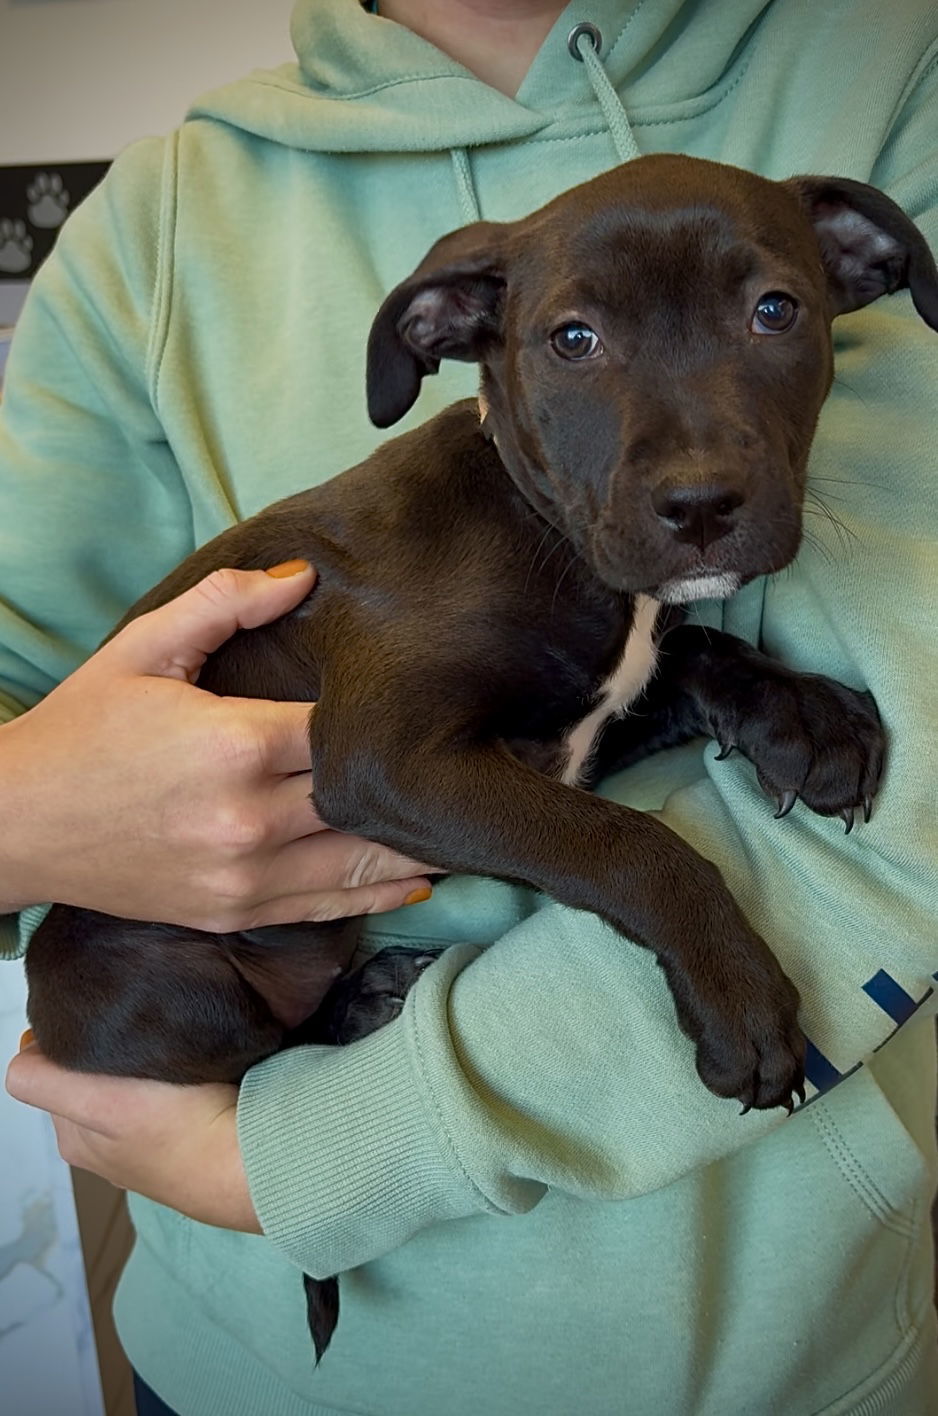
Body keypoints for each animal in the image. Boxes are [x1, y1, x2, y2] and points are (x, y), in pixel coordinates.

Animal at [25, 155, 935, 1359]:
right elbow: (632, 848)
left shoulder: (576, 729)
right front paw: (738, 992)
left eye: (776, 312)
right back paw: (363, 1005)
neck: (540, 526)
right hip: (149, 976)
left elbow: (691, 654)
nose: (700, 507)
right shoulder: (387, 759)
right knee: (255, 1055)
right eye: (573, 340)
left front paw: (804, 717)